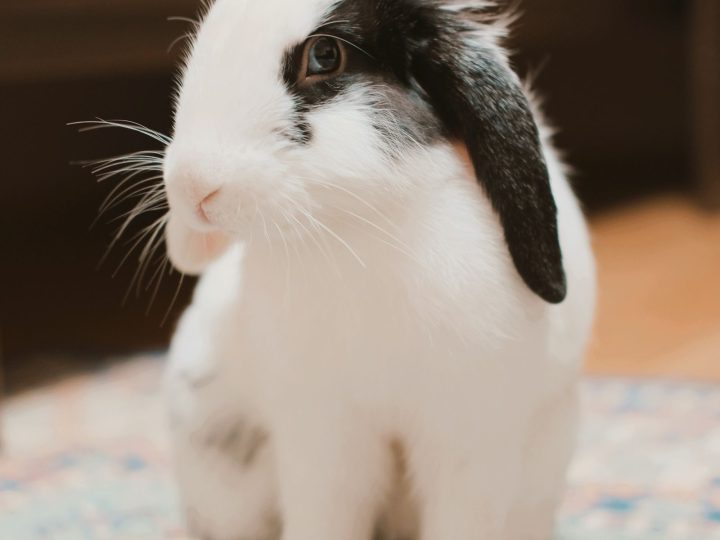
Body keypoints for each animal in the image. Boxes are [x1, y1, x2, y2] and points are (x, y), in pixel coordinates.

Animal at [161, 1, 596, 539]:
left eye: (325, 56)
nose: (193, 186)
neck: (353, 231)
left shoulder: (472, 435)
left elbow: (461, 518)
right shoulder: (321, 433)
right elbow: (325, 514)